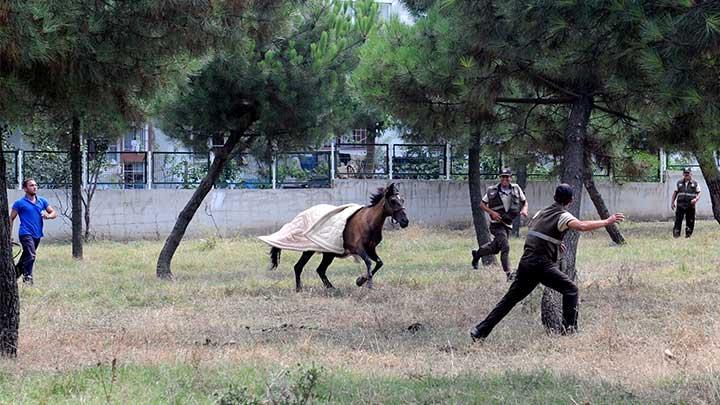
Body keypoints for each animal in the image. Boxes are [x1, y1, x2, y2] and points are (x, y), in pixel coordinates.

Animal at [268, 183, 408, 290]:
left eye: (402, 200)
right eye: (393, 200)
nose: (405, 221)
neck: (368, 222)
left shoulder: (371, 249)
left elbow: (379, 263)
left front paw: (360, 280)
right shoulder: (359, 249)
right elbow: (368, 262)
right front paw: (367, 283)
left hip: (328, 254)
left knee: (320, 270)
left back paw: (331, 287)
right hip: (309, 250)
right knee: (299, 267)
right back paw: (299, 288)